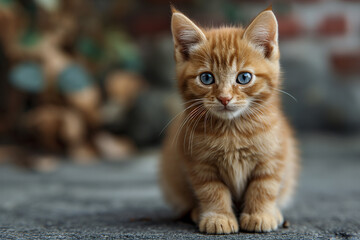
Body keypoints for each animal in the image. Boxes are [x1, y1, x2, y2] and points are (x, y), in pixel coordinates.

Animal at [160, 6, 298, 234]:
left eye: (244, 78)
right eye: (206, 78)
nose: (224, 98)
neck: (232, 130)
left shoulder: (273, 157)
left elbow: (264, 187)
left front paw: (260, 214)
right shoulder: (199, 164)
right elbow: (212, 191)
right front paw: (218, 217)